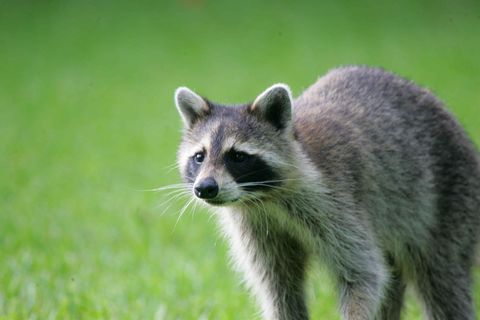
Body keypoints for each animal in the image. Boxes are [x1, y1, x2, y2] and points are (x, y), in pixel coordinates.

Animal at [174, 66, 480, 318]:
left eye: (237, 156)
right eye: (199, 157)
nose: (205, 188)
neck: (265, 199)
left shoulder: (337, 204)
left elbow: (363, 273)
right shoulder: (258, 227)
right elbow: (279, 288)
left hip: (451, 203)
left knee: (442, 281)